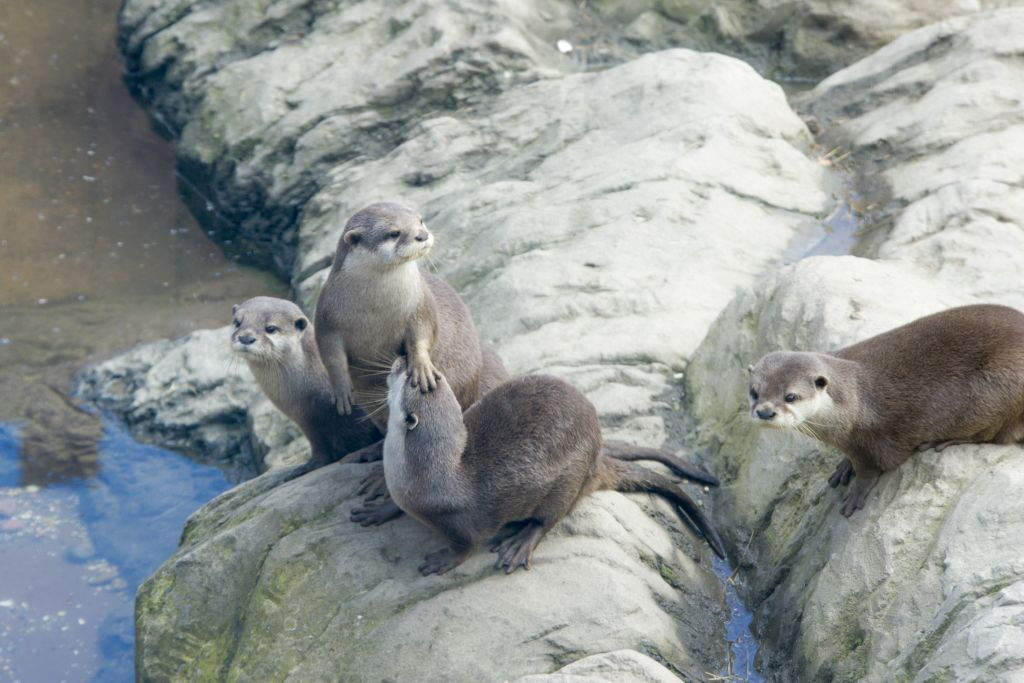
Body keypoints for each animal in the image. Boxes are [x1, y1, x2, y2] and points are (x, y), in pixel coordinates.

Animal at [228, 296, 380, 473]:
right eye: (237, 322)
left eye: (271, 328)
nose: (245, 338)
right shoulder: (308, 423)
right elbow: (319, 447)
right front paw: (309, 465)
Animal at [311, 201, 483, 428]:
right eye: (394, 233)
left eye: (420, 220)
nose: (422, 235)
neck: (376, 309)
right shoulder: (326, 318)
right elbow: (330, 356)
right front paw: (342, 391)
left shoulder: (420, 306)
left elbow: (423, 334)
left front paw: (422, 367)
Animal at [356, 358, 724, 577]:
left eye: (407, 377)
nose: (400, 360)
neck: (427, 476)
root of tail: (596, 454)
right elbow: (394, 503)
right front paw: (379, 510)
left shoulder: (462, 522)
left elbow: (467, 546)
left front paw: (442, 560)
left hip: (566, 481)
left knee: (551, 517)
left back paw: (520, 543)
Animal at [745, 305, 1024, 518]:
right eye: (754, 392)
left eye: (791, 396)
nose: (765, 412)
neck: (853, 400)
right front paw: (844, 466)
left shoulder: (869, 440)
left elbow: (871, 470)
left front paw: (856, 491)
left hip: (1000, 389)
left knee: (993, 435)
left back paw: (944, 440)